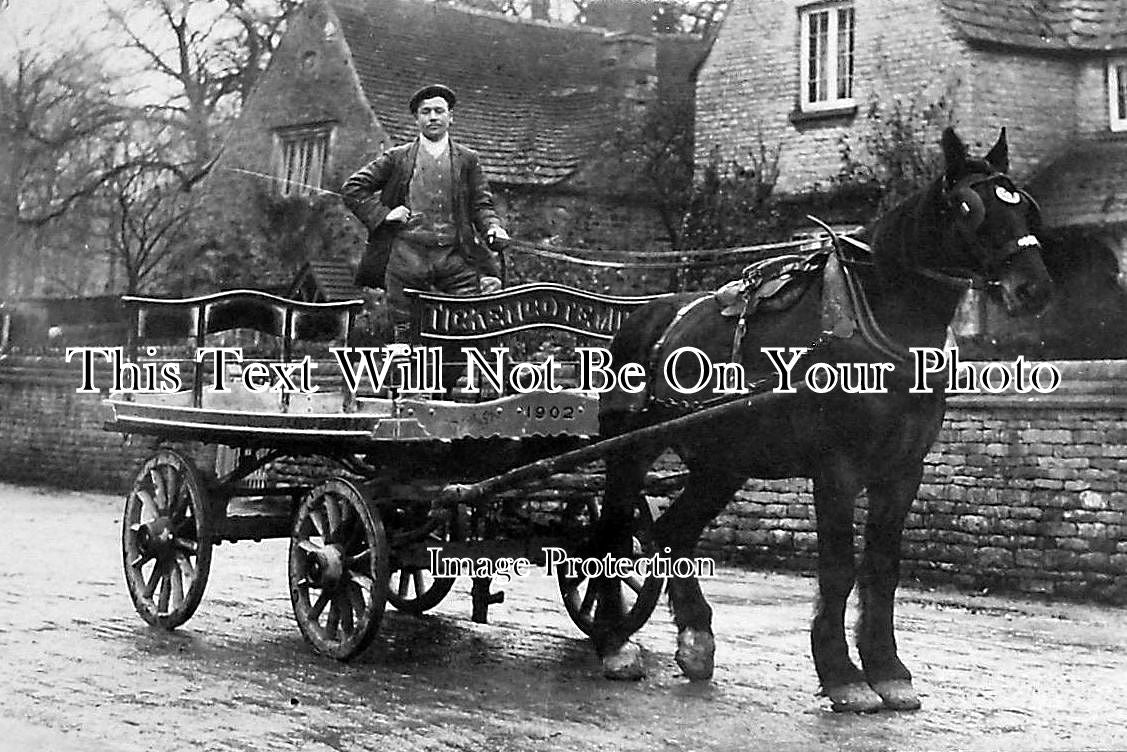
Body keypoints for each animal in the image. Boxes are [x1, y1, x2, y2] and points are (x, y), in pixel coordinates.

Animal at [595, 127, 1050, 712]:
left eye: (1025, 206)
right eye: (969, 208)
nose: (1033, 288)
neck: (881, 323)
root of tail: (645, 315)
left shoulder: (903, 470)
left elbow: (882, 566)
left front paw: (888, 669)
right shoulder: (837, 468)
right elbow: (838, 567)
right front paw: (842, 674)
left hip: (723, 462)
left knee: (676, 532)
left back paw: (695, 637)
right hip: (629, 447)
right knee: (610, 533)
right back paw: (613, 643)